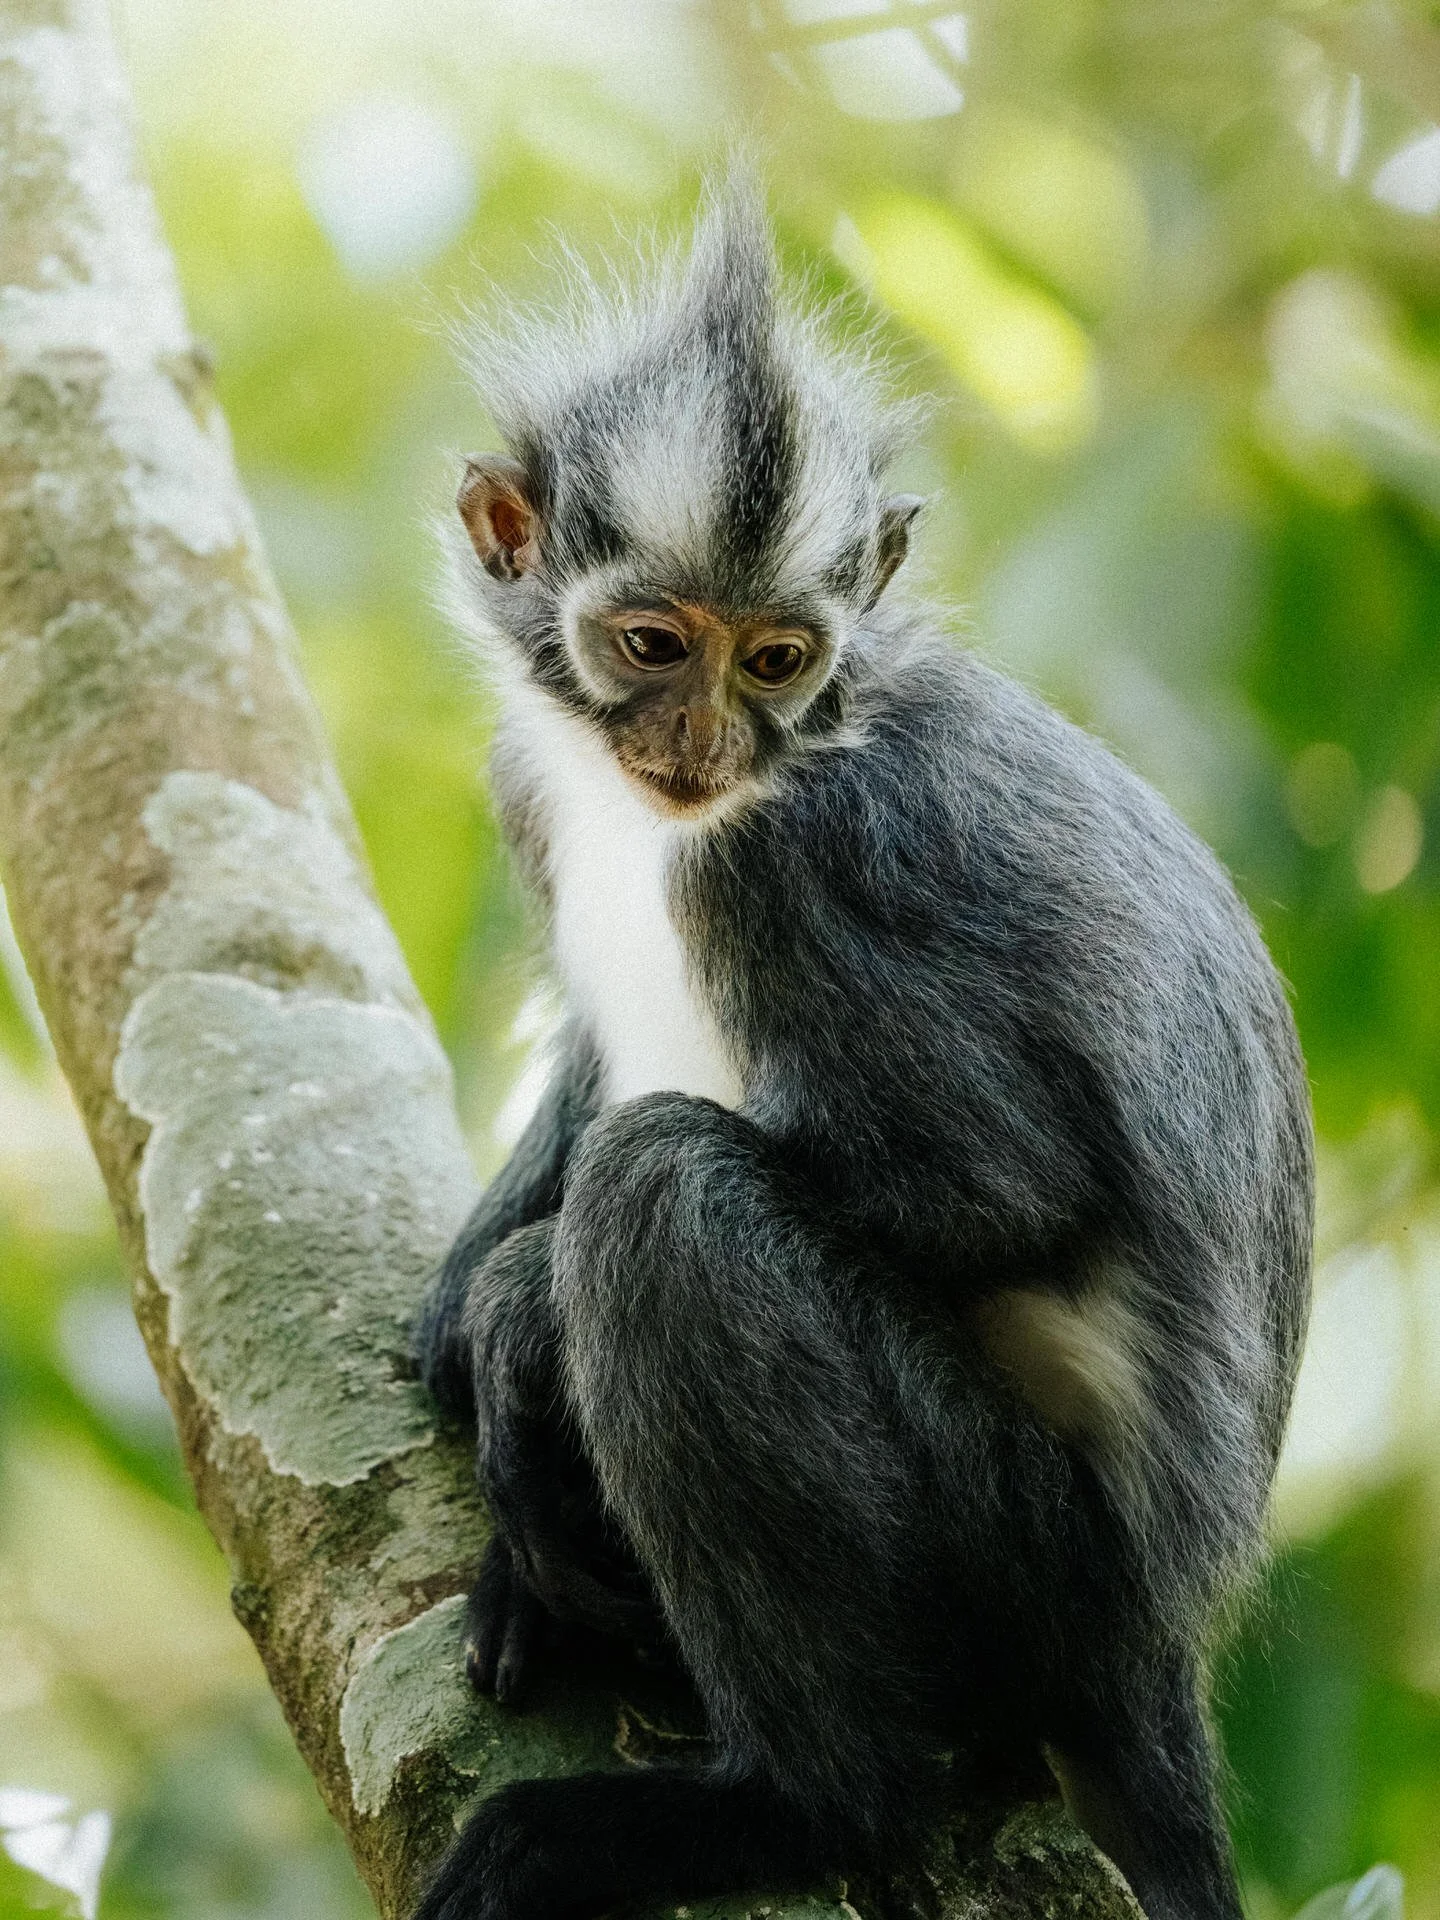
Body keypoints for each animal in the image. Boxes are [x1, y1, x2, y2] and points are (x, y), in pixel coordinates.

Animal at [411, 180, 1313, 1920]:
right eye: (652, 643)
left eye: (774, 660)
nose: (703, 741)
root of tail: (1151, 1652)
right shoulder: (537, 777)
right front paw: (465, 1289)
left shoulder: (810, 858)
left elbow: (999, 1189)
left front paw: (516, 1315)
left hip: (1030, 1552)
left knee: (666, 1194)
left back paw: (801, 1808)